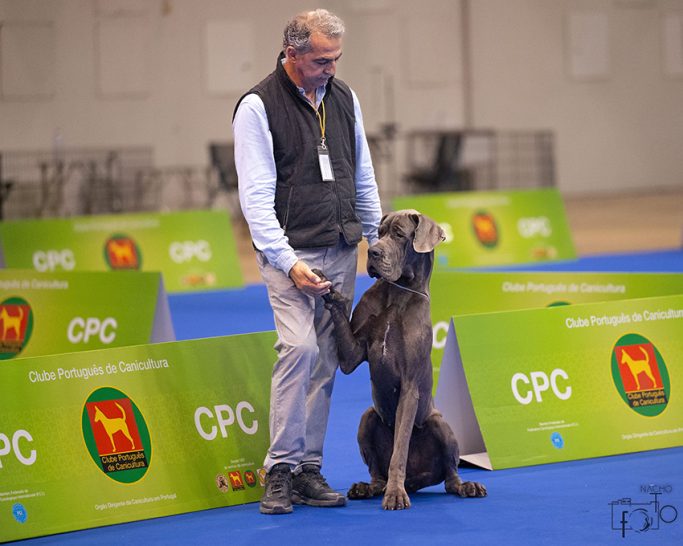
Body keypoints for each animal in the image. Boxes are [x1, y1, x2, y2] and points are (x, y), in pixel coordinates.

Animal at [316, 209, 486, 510]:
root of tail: (416, 482)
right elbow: (341, 321)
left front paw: (395, 494)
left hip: (440, 425)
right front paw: (328, 288)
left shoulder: (409, 386)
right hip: (367, 418)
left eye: (398, 234)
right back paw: (366, 487)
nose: (373, 252)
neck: (398, 293)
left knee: (450, 476)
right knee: (376, 472)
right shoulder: (351, 354)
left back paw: (466, 486)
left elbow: (400, 449)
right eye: (379, 232)